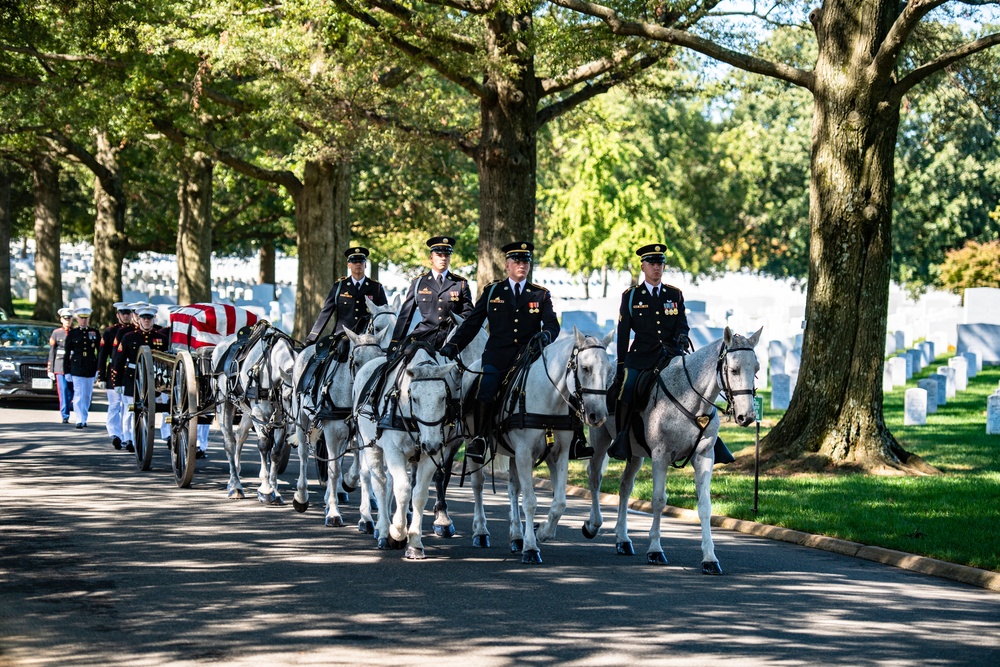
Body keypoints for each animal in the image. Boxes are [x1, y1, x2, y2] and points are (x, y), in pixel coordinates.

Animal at [214, 326, 296, 504]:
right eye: (288, 397)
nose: (295, 438)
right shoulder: (260, 414)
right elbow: (264, 445)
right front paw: (265, 489)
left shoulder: (280, 419)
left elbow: (276, 452)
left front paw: (275, 489)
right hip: (224, 402)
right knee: (229, 442)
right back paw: (235, 485)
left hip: (247, 410)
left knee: (240, 435)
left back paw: (235, 475)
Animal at [352, 344, 458, 560]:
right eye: (414, 398)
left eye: (443, 397)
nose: (431, 443)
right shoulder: (393, 451)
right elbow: (402, 490)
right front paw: (397, 533)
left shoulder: (430, 456)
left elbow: (419, 495)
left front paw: (415, 543)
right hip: (371, 446)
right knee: (379, 484)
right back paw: (383, 530)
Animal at [468, 328, 616, 564]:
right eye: (585, 368)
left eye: (610, 370)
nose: (598, 415)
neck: (550, 398)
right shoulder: (524, 454)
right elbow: (530, 501)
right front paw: (531, 548)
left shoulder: (558, 454)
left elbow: (559, 502)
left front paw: (543, 532)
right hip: (471, 445)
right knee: (478, 485)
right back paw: (481, 532)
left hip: (514, 455)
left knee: (512, 489)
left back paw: (516, 536)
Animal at [584, 326, 760, 572]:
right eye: (734, 370)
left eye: (756, 369)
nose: (748, 417)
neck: (691, 399)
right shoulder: (661, 456)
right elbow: (659, 500)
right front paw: (655, 550)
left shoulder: (704, 456)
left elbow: (705, 505)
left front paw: (710, 558)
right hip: (600, 438)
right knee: (595, 477)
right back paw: (593, 525)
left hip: (635, 454)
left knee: (625, 487)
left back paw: (623, 539)